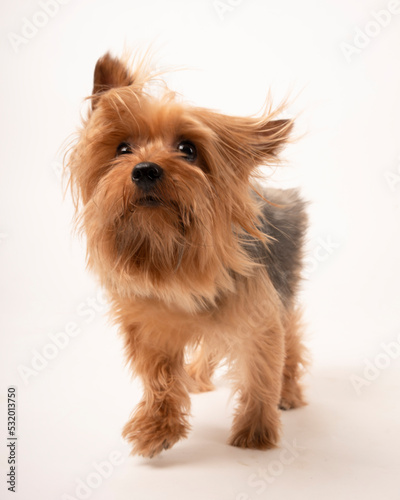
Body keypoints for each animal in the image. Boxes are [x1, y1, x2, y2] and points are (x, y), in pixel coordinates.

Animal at [66, 51, 310, 458]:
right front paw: (156, 428)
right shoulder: (150, 326)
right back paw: (198, 376)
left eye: (188, 149)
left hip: (285, 282)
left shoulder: (259, 314)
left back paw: (288, 391)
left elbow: (261, 370)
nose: (145, 170)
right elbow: (160, 375)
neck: (168, 250)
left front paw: (255, 431)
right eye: (122, 149)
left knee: (290, 339)